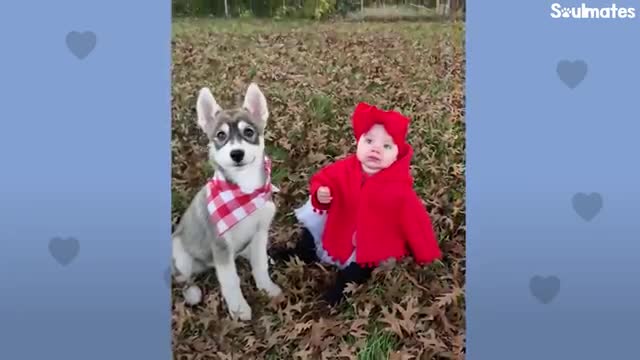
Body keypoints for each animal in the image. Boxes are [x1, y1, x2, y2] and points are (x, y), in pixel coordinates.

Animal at [171, 83, 282, 320]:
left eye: (248, 132)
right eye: (220, 135)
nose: (236, 153)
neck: (245, 190)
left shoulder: (260, 231)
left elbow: (260, 264)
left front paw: (267, 288)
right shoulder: (221, 245)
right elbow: (231, 281)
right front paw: (239, 309)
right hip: (181, 255)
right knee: (183, 278)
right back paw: (191, 291)